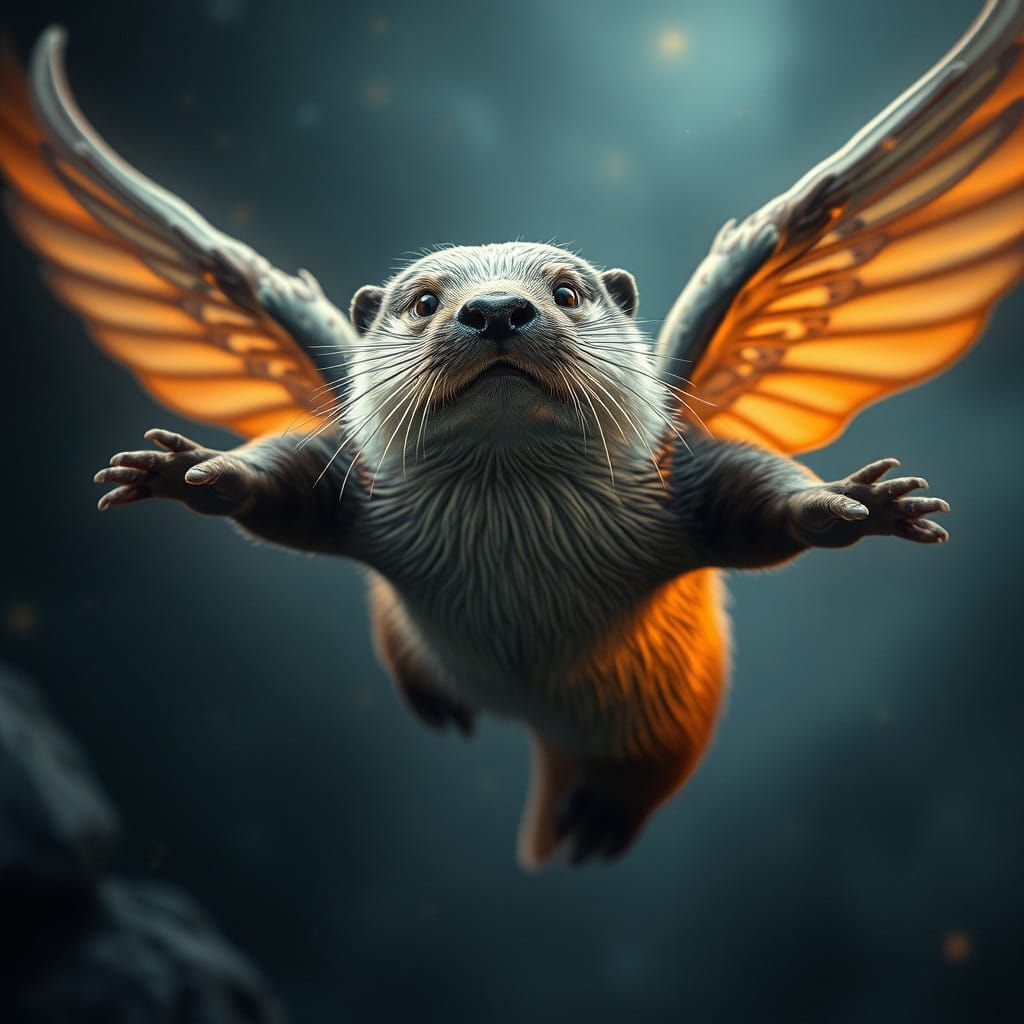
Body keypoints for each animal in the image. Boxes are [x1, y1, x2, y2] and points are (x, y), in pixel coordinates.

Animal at [2, 8, 1022, 866]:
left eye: (567, 289)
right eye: (422, 301)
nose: (497, 308)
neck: (512, 543)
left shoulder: (677, 480)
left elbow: (761, 500)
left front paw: (857, 502)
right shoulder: (357, 488)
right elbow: (277, 485)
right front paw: (189, 468)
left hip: (670, 717)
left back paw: (598, 821)